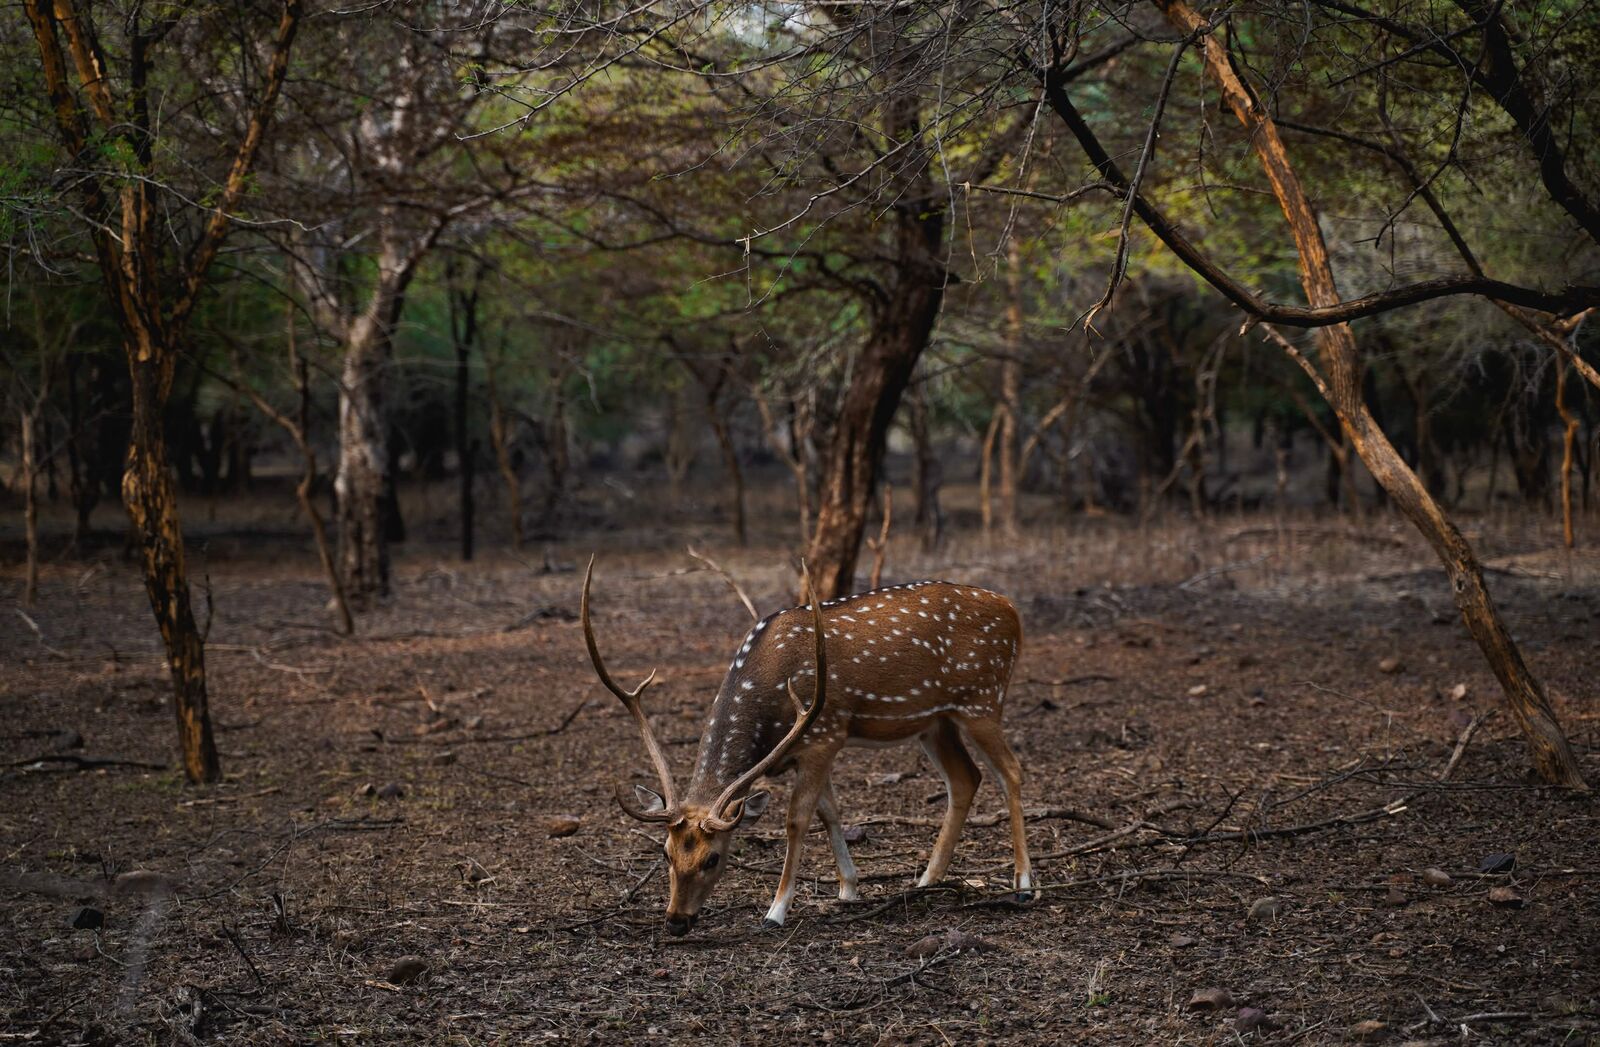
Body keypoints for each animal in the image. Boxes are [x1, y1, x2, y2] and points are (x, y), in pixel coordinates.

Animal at [582, 556, 1033, 935]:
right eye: (665, 853)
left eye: (713, 858)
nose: (676, 920)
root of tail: (1013, 610)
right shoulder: (809, 748)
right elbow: (830, 811)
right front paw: (849, 888)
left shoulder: (824, 734)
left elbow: (797, 820)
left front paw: (776, 910)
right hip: (937, 722)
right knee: (965, 779)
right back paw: (926, 879)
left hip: (982, 700)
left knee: (1011, 770)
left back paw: (1024, 883)